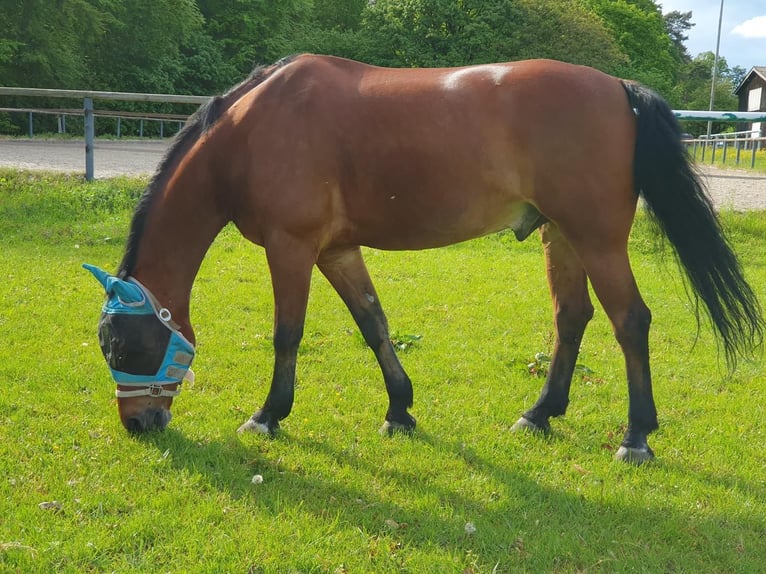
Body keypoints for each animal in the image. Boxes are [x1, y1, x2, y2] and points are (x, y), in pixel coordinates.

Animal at [84, 54, 763, 464]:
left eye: (125, 346)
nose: (139, 424)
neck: (250, 131)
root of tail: (618, 89)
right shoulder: (337, 248)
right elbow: (373, 322)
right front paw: (400, 410)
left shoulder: (292, 246)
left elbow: (287, 333)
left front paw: (268, 416)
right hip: (564, 237)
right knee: (572, 318)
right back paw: (540, 414)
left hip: (597, 239)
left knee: (630, 322)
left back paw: (636, 437)